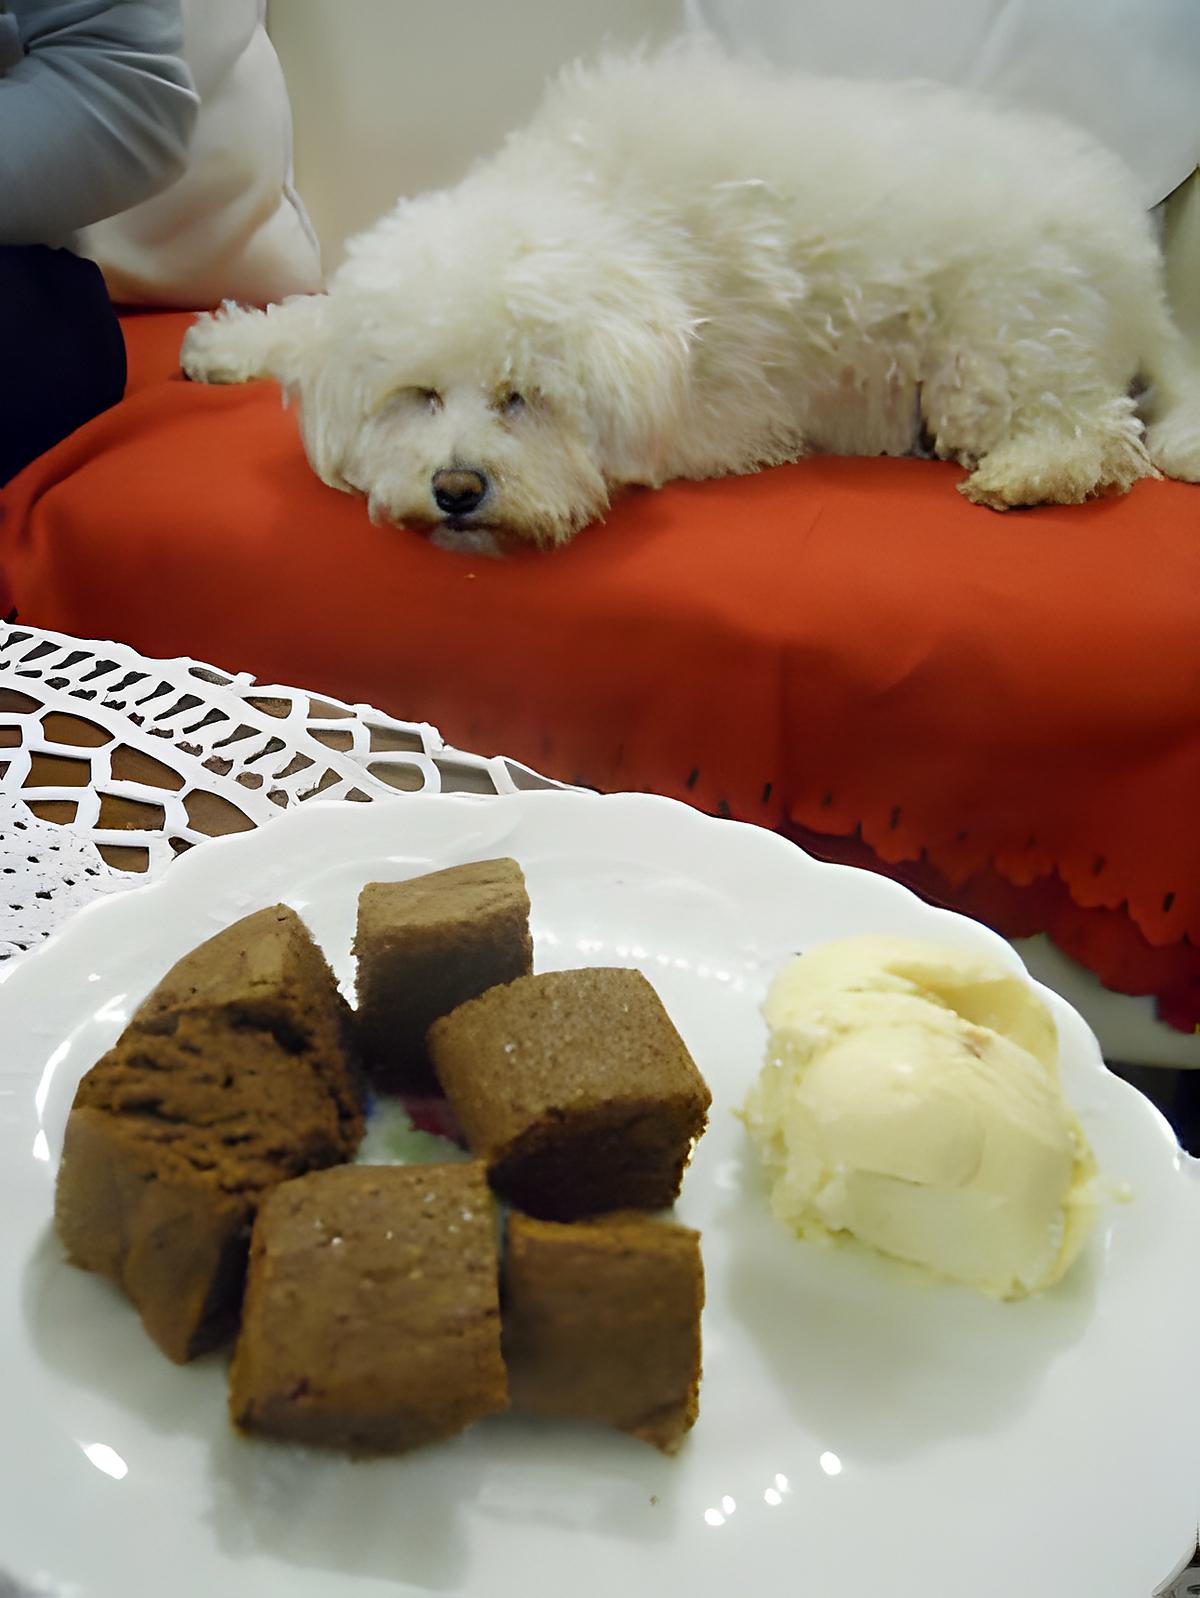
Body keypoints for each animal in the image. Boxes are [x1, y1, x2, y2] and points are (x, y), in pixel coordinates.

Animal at [182, 46, 1200, 546]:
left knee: (1098, 433)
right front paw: (227, 345)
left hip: (988, 353)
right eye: (420, 396)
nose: (457, 488)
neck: (599, 207)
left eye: (524, 398)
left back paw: (1024, 476)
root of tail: (1131, 254)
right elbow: (308, 326)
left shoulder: (721, 413)